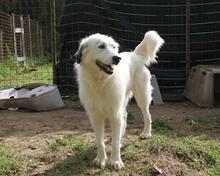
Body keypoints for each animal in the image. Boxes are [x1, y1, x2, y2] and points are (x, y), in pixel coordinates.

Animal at [75, 31, 164, 169]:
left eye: (113, 47)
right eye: (101, 46)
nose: (117, 58)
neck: (101, 82)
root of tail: (134, 54)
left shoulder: (114, 114)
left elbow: (115, 142)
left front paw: (116, 161)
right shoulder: (95, 116)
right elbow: (99, 140)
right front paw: (101, 159)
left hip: (142, 98)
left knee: (147, 116)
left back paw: (146, 133)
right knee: (125, 115)